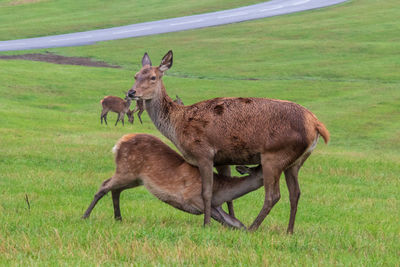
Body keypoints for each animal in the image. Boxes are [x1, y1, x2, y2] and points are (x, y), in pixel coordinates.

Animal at [81, 133, 262, 229]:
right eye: (261, 170)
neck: (220, 190)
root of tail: (118, 144)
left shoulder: (214, 204)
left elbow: (233, 221)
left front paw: (245, 229)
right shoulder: (191, 197)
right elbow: (222, 218)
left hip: (134, 178)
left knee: (115, 190)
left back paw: (118, 218)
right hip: (126, 170)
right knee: (104, 185)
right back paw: (85, 216)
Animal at [126, 50, 330, 234]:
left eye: (153, 77)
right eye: (135, 75)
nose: (131, 92)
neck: (178, 126)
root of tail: (316, 124)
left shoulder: (204, 153)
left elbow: (207, 192)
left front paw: (207, 224)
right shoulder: (222, 159)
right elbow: (229, 197)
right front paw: (230, 222)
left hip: (275, 155)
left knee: (273, 195)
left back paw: (252, 228)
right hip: (296, 161)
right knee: (295, 193)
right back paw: (289, 231)